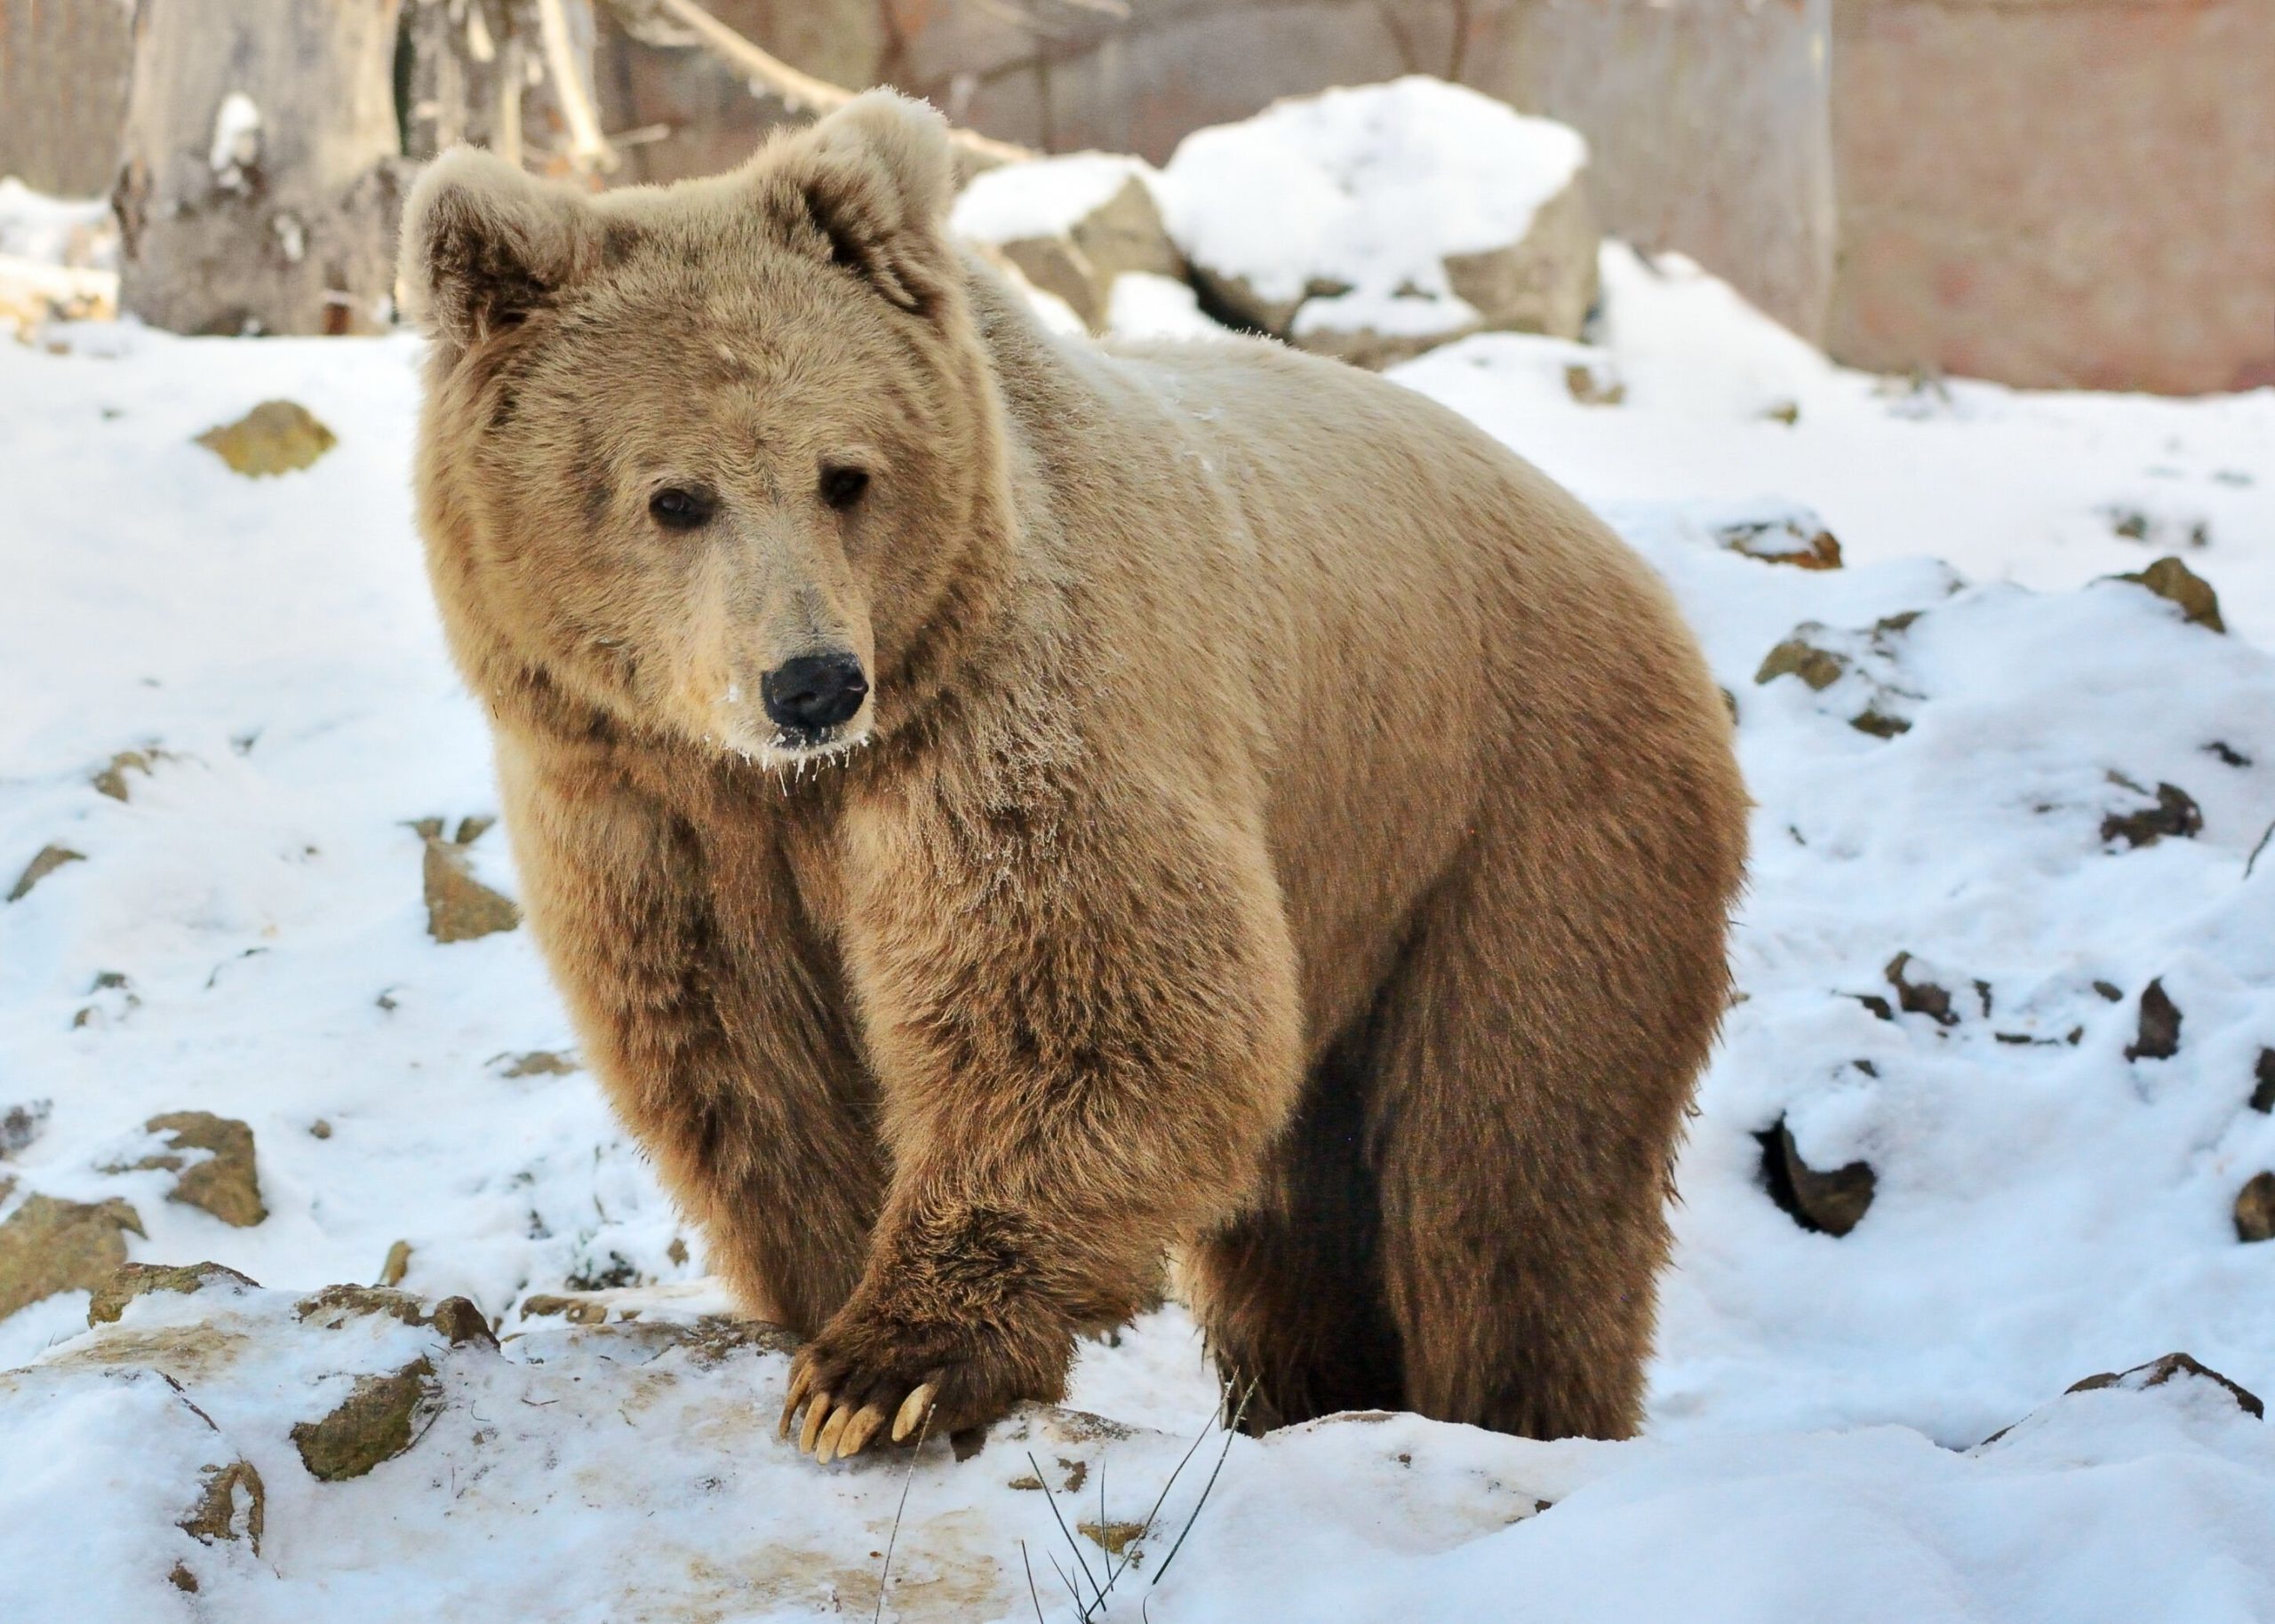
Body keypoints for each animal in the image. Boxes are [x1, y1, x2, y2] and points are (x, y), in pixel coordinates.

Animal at [398, 90, 1748, 1463]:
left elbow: (1080, 995)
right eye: (674, 497)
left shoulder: (1009, 704)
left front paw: (885, 1371)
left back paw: (1522, 1412)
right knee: (1308, 1220)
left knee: (1507, 1172)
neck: (787, 783)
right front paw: (827, 1307)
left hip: (1517, 804)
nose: (813, 683)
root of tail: (1611, 548)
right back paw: (1311, 1395)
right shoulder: (641, 802)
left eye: (846, 474)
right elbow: (743, 1057)